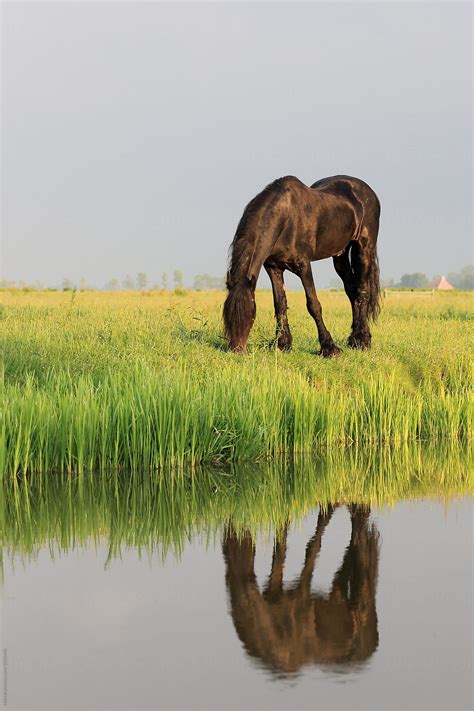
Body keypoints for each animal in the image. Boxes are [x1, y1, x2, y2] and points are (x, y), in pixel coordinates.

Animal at [222, 176, 382, 358]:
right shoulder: (273, 267)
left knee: (363, 291)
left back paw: (362, 340)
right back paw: (353, 338)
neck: (285, 219)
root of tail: (366, 190)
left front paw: (329, 348)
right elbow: (280, 304)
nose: (236, 350)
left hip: (364, 248)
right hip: (340, 255)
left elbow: (313, 305)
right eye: (227, 316)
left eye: (249, 315)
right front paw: (281, 343)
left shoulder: (303, 266)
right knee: (352, 291)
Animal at [223, 504, 382, 676]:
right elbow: (280, 548)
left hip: (362, 591)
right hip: (340, 595)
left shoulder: (303, 595)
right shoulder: (274, 591)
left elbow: (311, 547)